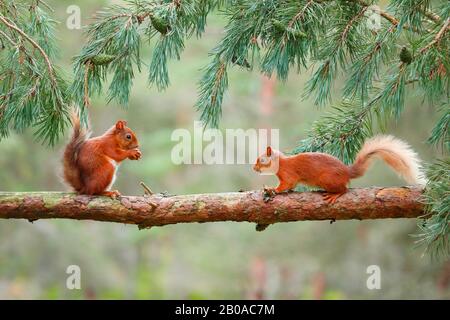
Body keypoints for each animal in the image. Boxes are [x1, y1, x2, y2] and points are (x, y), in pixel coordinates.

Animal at [253, 134, 426, 202]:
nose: (254, 168)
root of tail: (347, 172)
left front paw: (273, 189)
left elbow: (286, 184)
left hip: (327, 179)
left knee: (345, 189)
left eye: (261, 160)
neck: (281, 163)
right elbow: (291, 186)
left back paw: (334, 195)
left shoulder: (288, 174)